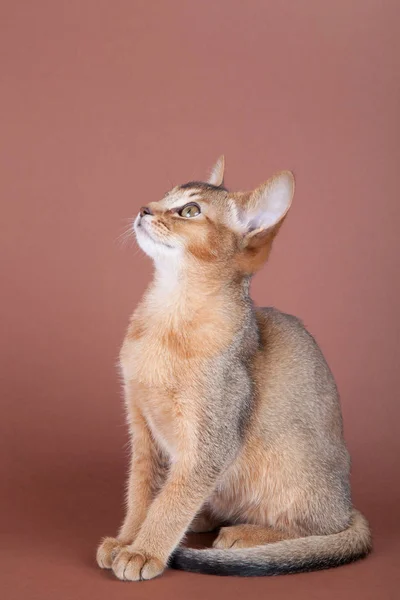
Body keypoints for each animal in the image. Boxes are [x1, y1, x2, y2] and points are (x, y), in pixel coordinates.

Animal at [97, 157, 372, 580]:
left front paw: (144, 551)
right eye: (165, 196)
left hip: (287, 464)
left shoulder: (212, 440)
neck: (168, 314)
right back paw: (203, 518)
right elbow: (143, 493)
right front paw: (127, 539)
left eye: (190, 211)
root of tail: (347, 503)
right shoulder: (143, 429)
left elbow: (172, 501)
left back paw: (244, 535)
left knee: (319, 528)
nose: (145, 209)